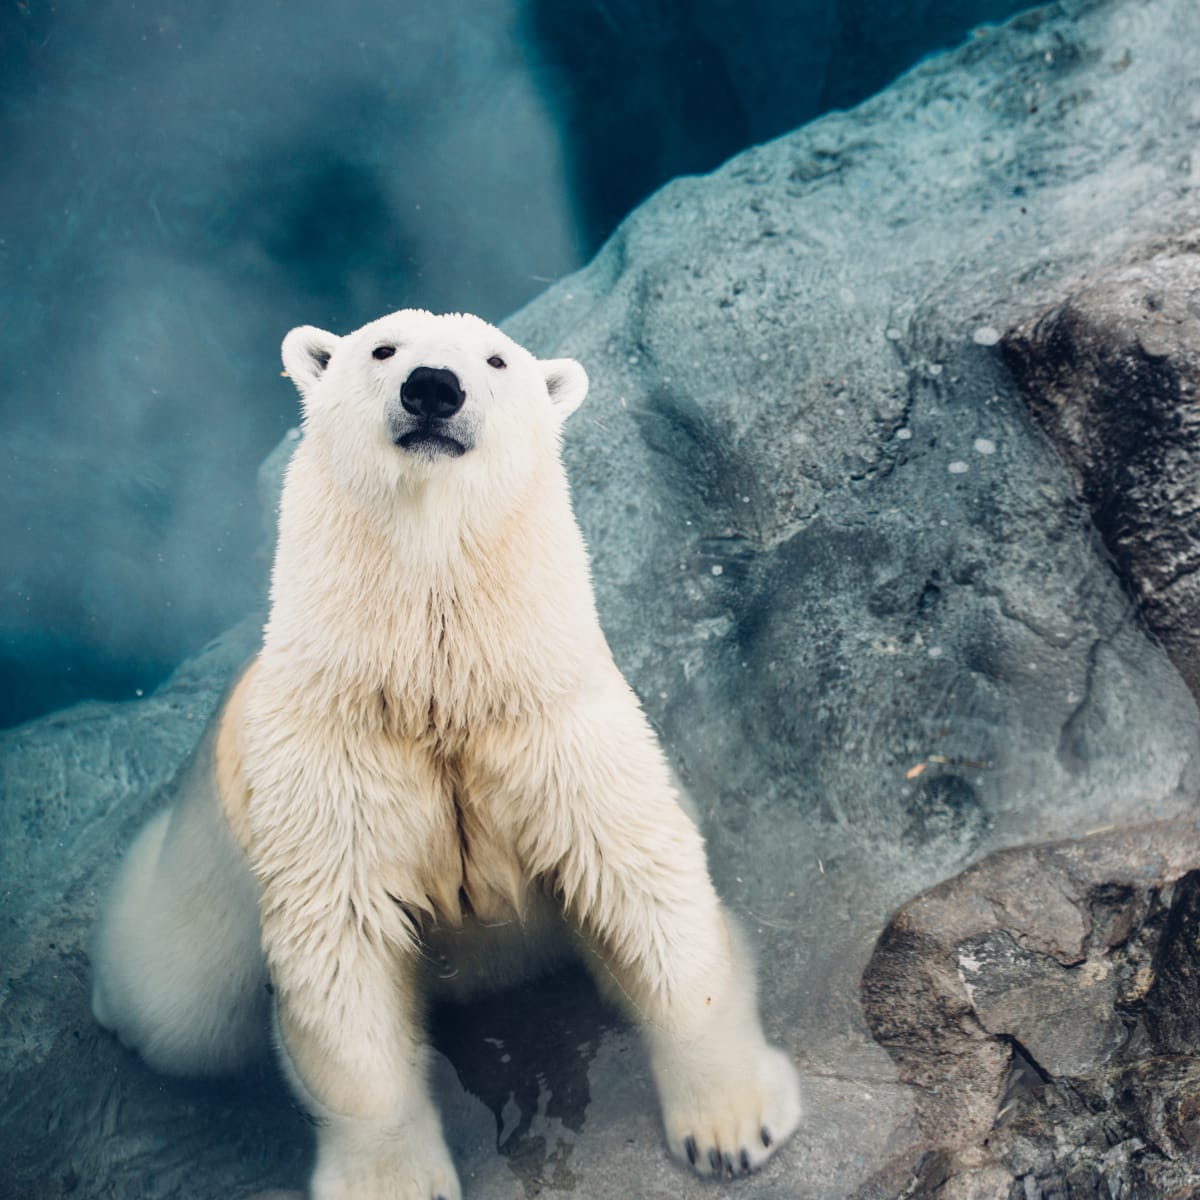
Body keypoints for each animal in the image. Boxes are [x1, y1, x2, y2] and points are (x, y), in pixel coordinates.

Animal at [90, 308, 801, 1200]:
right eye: (382, 348)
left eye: (497, 360)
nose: (433, 387)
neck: (438, 690)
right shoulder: (333, 771)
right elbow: (344, 964)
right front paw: (390, 1180)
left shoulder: (555, 725)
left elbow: (642, 889)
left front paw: (735, 1128)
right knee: (176, 1004)